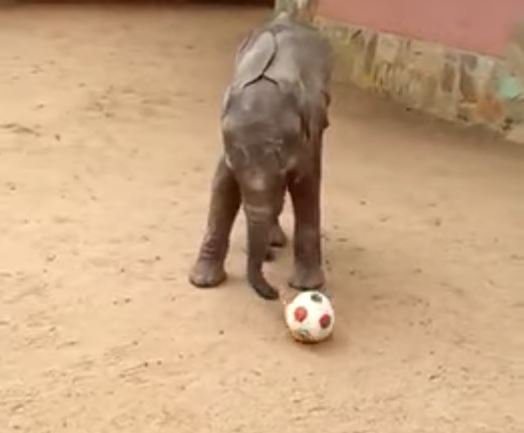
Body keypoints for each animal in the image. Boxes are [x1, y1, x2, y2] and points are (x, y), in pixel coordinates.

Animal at [190, 11, 334, 300]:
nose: (276, 293)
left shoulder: (305, 140)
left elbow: (306, 187)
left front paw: (307, 286)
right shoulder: (229, 146)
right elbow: (223, 187)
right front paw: (203, 282)